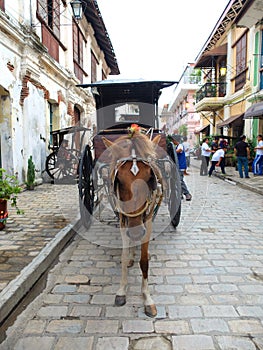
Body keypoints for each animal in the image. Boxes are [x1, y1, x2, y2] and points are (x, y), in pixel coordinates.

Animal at [102, 128, 163, 318]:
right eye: (119, 180)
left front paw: (147, 298)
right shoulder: (123, 220)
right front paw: (122, 290)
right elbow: (122, 257)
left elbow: (144, 261)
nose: (136, 231)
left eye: (150, 177)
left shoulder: (147, 221)